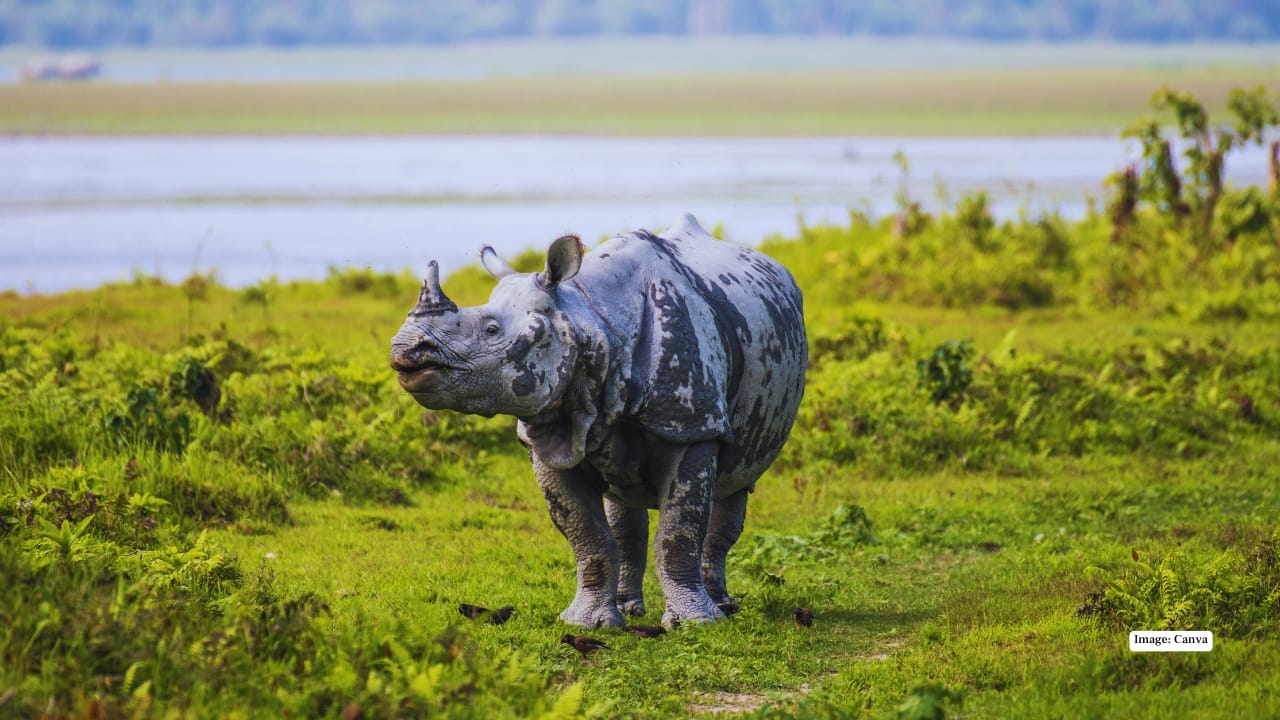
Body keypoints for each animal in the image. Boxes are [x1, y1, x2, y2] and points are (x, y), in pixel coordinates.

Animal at [390, 214, 807, 627]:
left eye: (491, 330)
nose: (406, 350)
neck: (589, 319)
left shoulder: (692, 425)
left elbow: (678, 533)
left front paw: (695, 624)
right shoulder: (548, 436)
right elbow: (587, 535)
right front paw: (585, 623)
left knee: (735, 483)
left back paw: (722, 608)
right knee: (624, 506)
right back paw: (629, 609)